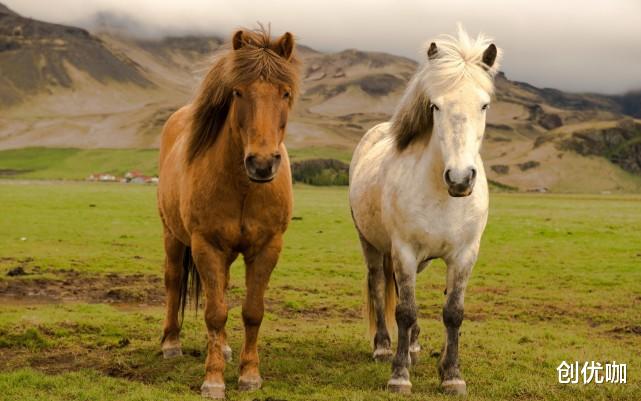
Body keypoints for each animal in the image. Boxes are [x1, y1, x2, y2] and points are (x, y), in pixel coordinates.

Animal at [159, 27, 302, 396]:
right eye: (238, 91)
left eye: (285, 93)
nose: (262, 163)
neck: (243, 188)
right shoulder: (205, 244)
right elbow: (214, 313)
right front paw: (213, 380)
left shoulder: (267, 247)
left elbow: (252, 311)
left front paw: (249, 374)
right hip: (173, 235)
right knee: (174, 280)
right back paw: (171, 343)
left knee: (221, 286)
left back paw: (221, 347)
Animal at [350, 26, 500, 396]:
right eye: (435, 105)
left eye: (484, 104)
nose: (460, 178)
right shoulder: (403, 250)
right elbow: (405, 310)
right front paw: (399, 375)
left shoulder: (465, 254)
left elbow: (453, 312)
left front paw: (451, 374)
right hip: (371, 244)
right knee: (379, 286)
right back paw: (383, 347)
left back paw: (415, 347)